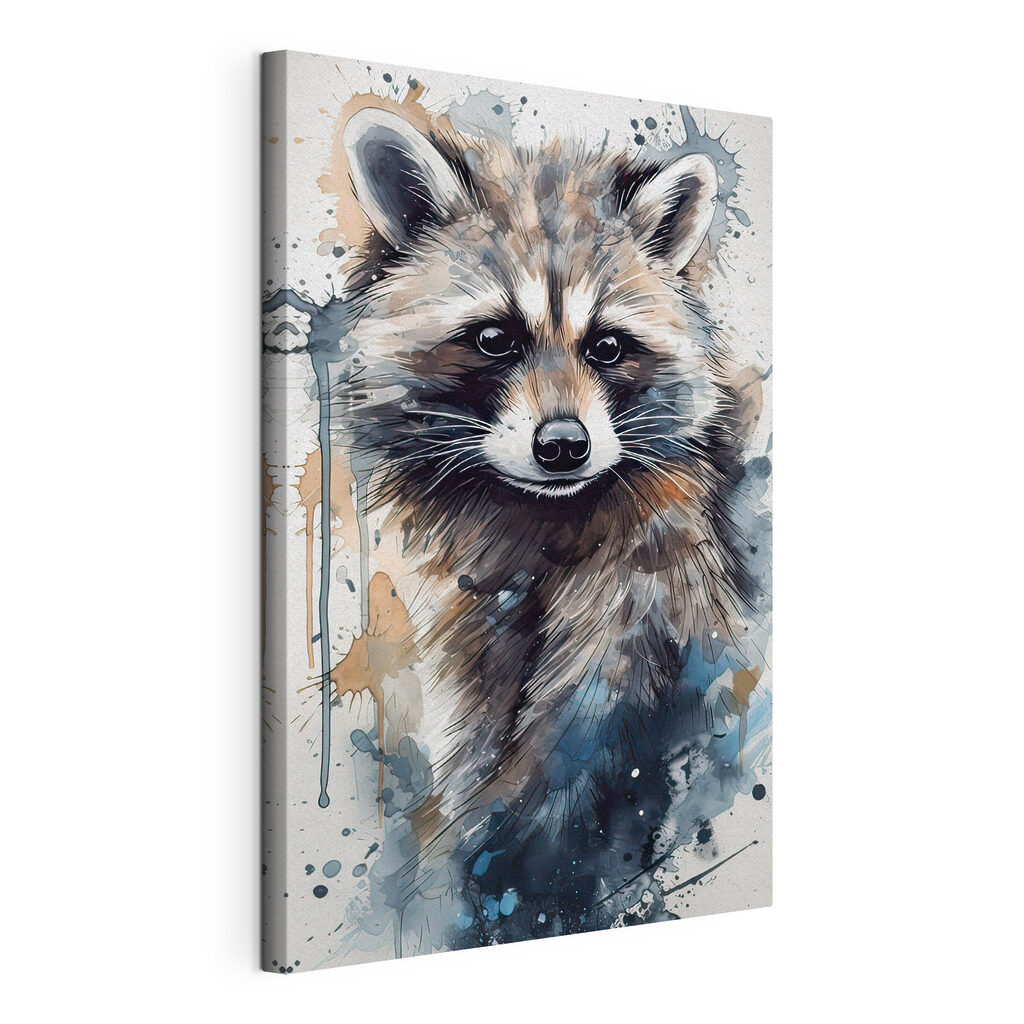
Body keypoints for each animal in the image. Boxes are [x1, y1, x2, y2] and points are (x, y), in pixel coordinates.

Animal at [336, 107, 767, 938]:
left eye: (608, 346)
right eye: (493, 337)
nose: (564, 446)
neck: (538, 513)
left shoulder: (652, 575)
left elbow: (577, 748)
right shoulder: (471, 609)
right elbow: (476, 727)